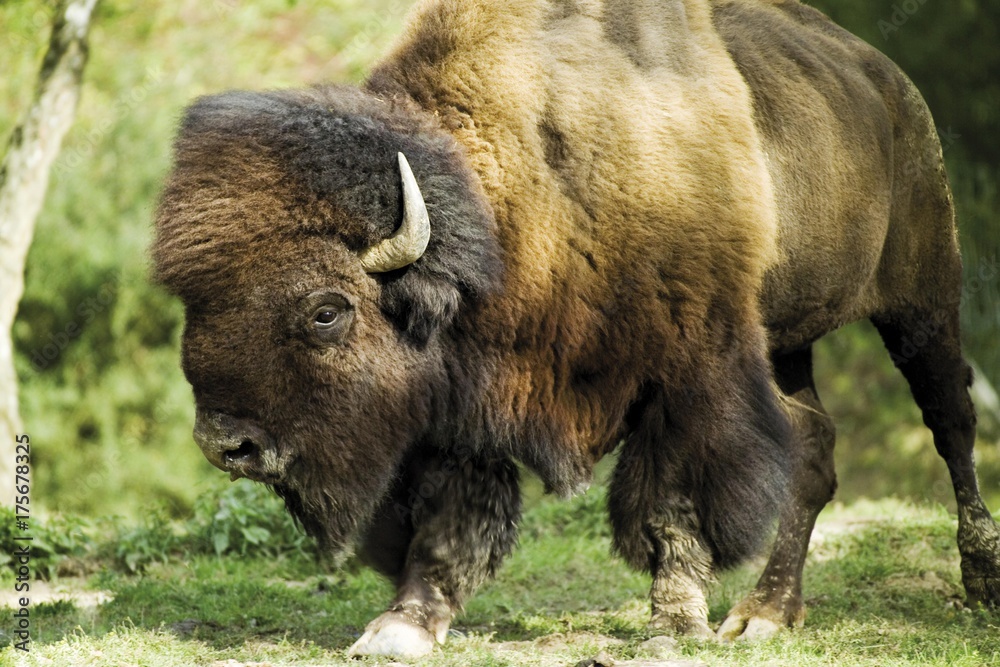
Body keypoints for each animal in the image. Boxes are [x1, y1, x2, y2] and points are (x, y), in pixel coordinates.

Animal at [153, 0, 1000, 658]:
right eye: (196, 301)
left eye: (326, 309)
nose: (226, 443)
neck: (531, 190)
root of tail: (888, 83)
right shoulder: (461, 400)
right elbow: (449, 517)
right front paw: (401, 626)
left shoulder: (687, 377)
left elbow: (668, 503)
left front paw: (672, 625)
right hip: (788, 340)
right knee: (816, 443)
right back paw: (763, 615)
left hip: (921, 301)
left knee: (951, 422)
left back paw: (977, 580)